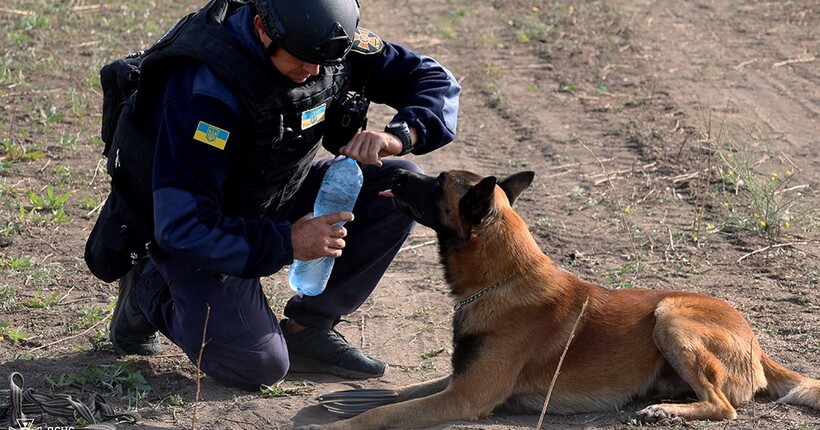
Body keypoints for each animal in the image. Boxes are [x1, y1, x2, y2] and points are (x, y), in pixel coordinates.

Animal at [302, 170, 820, 428]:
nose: (393, 172)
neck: (504, 278)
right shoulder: (461, 380)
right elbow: (404, 392)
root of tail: (755, 342)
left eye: (435, 183)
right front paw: (353, 400)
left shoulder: (468, 396)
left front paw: (337, 426)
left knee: (724, 405)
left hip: (669, 317)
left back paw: (667, 412)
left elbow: (388, 413)